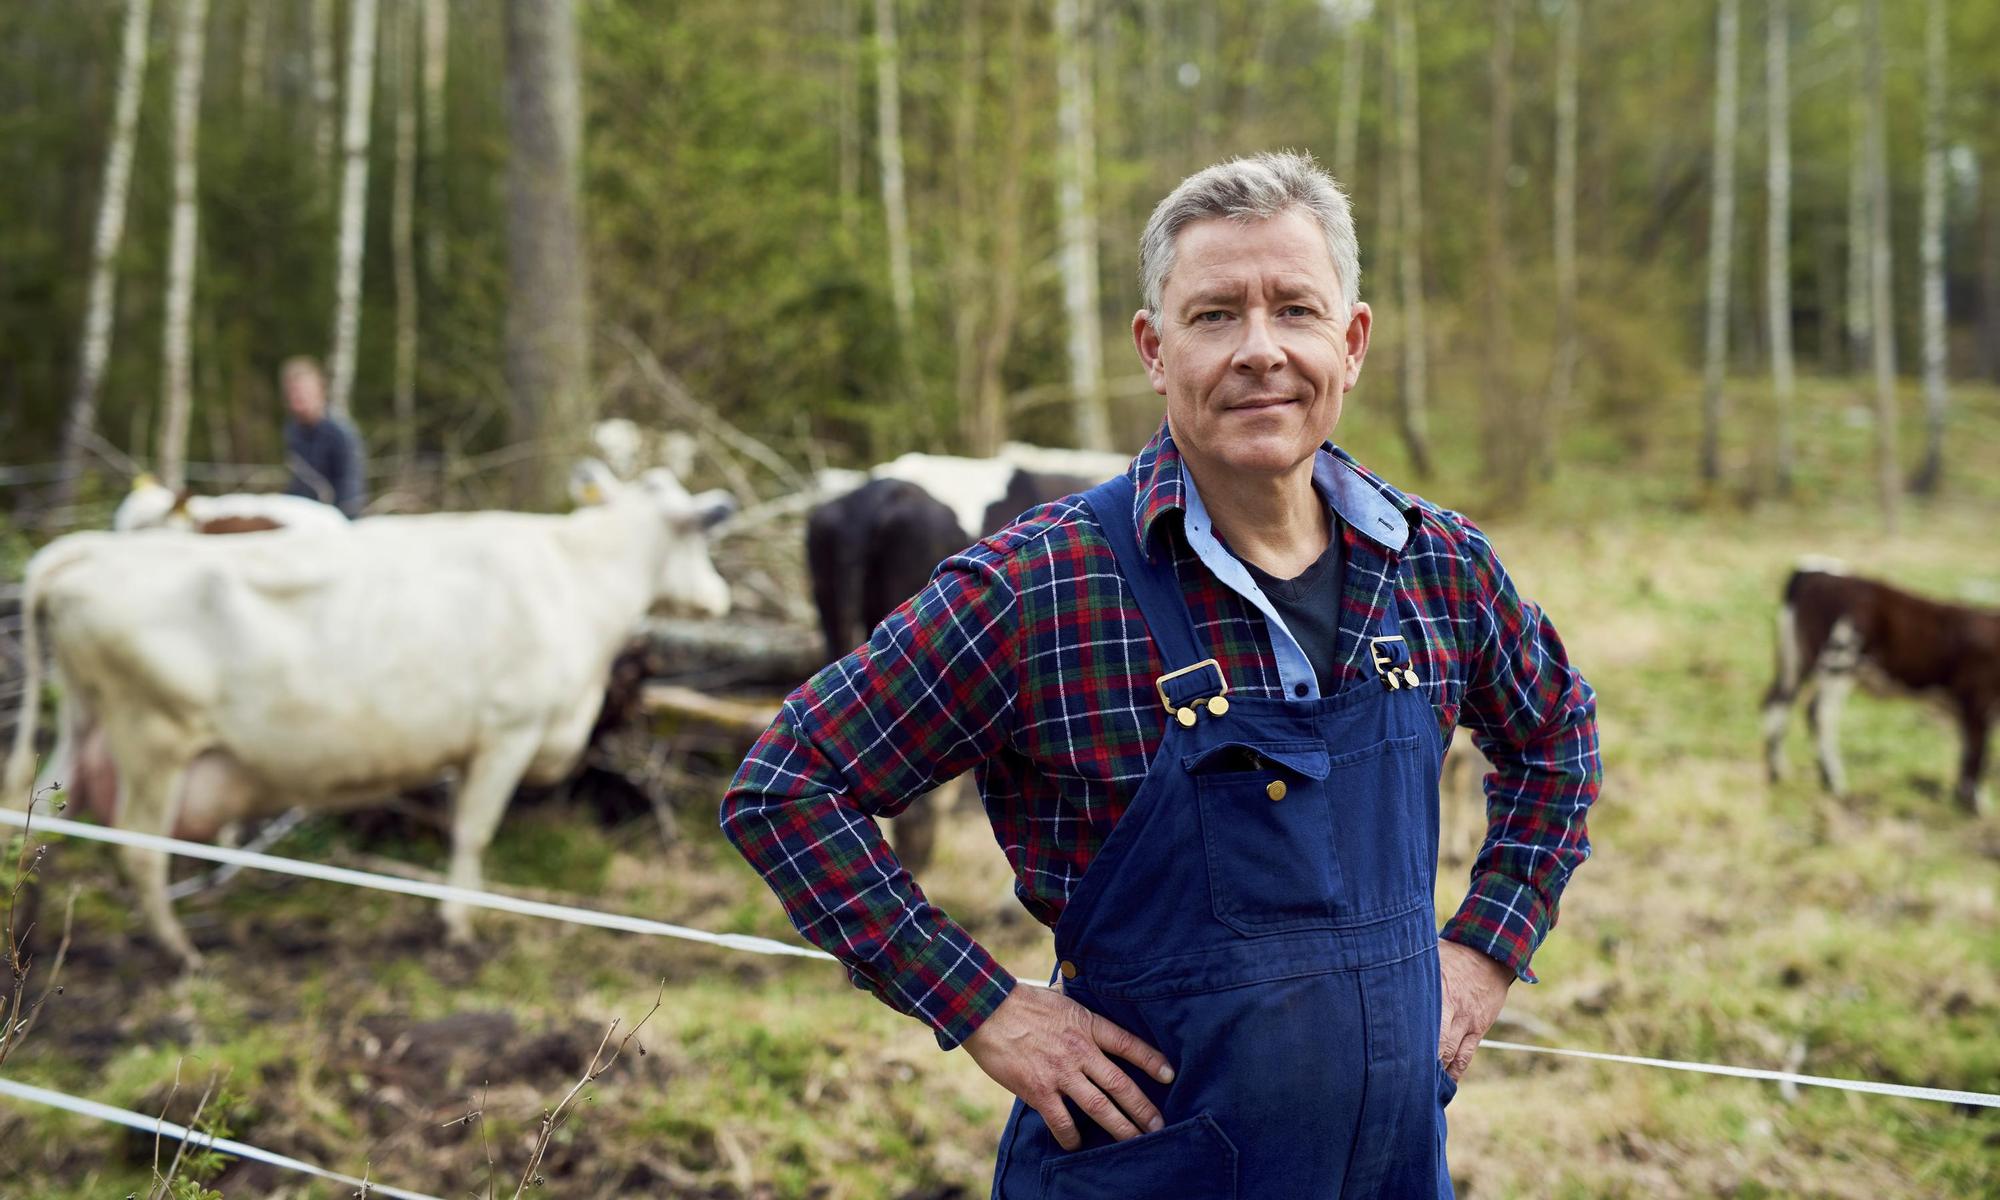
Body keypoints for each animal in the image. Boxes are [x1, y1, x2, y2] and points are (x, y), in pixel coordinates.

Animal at [1, 468, 736, 964]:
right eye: (701, 535)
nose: (721, 597)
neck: (578, 575)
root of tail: (83, 551)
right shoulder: (509, 730)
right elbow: (473, 832)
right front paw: (459, 927)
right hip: (153, 741)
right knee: (139, 851)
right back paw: (180, 953)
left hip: (83, 726)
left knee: (37, 825)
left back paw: (25, 936)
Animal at [1768, 564, 2000, 816]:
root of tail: (1816, 573)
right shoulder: (1979, 701)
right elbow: (1979, 754)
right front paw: (1976, 806)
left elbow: (1968, 752)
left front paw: (1963, 800)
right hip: (1839, 661)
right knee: (1818, 714)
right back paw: (1834, 783)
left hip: (1797, 662)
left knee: (1776, 704)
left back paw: (1777, 772)